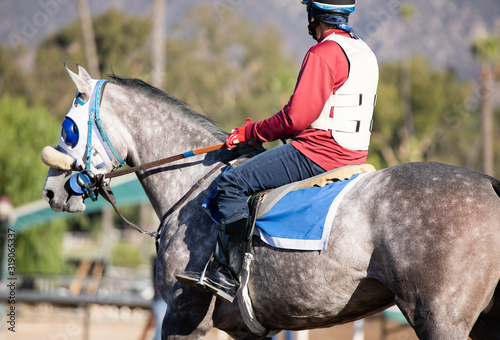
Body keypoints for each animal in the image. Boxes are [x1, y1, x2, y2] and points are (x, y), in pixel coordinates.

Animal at [44, 65, 500, 338]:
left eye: (69, 128)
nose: (51, 190)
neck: (192, 186)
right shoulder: (248, 328)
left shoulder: (182, 317)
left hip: (441, 319)